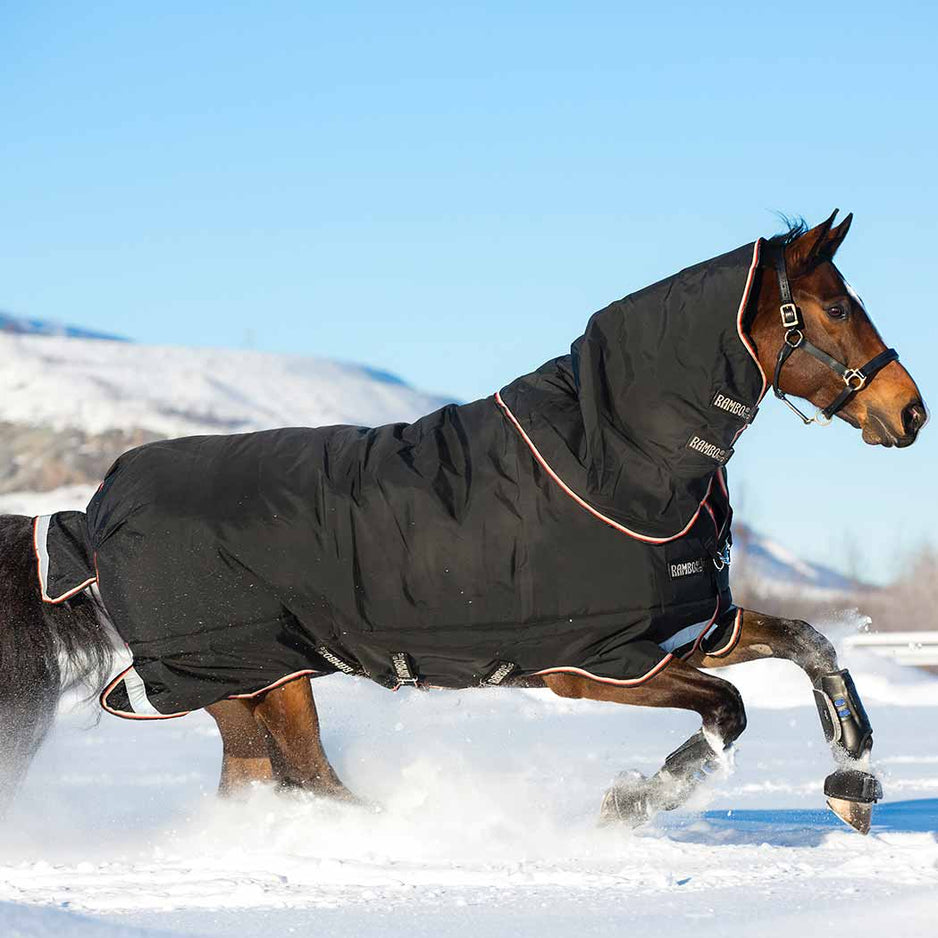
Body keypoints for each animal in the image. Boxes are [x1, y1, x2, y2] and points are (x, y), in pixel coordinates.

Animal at [0, 211, 926, 836]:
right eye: (837, 309)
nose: (909, 412)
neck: (616, 460)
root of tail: (89, 517)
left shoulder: (693, 629)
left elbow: (812, 644)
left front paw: (853, 777)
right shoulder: (593, 665)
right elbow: (728, 711)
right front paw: (633, 799)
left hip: (256, 679)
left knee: (271, 781)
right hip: (247, 672)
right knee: (302, 777)